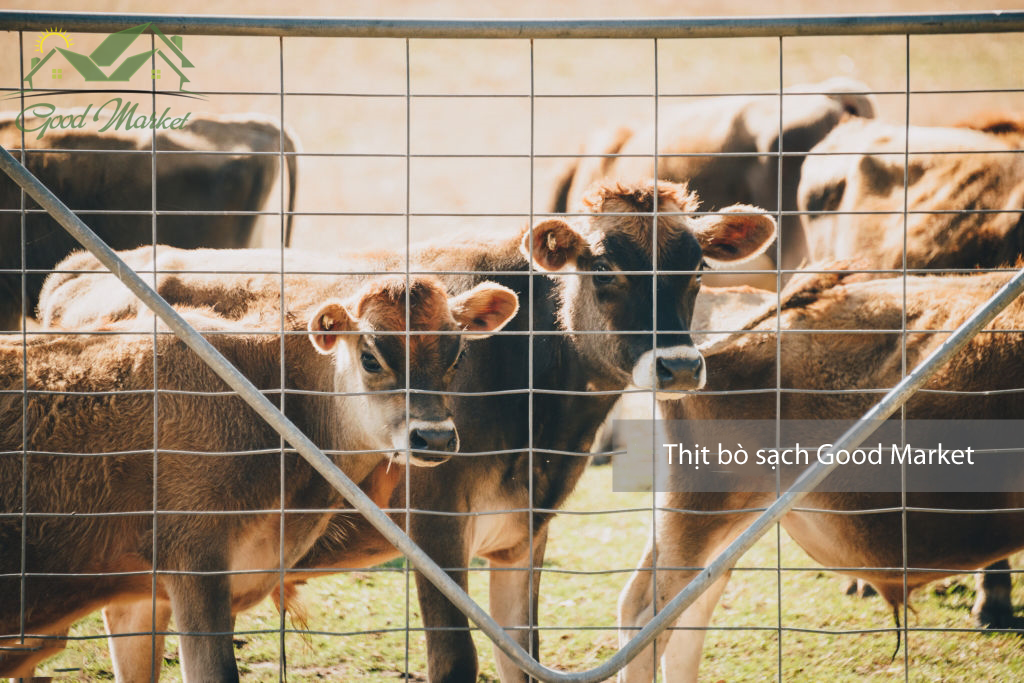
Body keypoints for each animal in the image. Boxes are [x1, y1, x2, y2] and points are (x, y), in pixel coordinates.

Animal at [36, 178, 774, 683]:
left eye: (698, 267)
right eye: (604, 267)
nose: (679, 364)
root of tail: (82, 267)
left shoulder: (523, 533)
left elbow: (521, 652)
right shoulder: (434, 519)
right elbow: (456, 658)